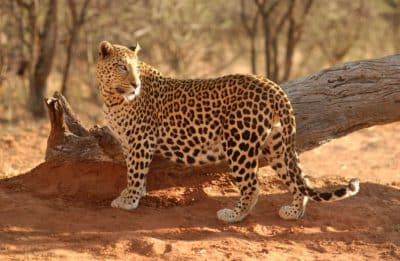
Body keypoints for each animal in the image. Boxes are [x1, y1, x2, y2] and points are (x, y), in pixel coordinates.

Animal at [96, 40, 360, 221]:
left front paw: (128, 200)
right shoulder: (128, 142)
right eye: (121, 67)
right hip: (276, 144)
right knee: (299, 178)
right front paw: (135, 194)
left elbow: (135, 171)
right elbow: (134, 170)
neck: (112, 97)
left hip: (239, 143)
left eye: (135, 69)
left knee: (253, 186)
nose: (135, 84)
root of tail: (272, 85)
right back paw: (294, 212)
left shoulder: (140, 140)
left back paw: (233, 215)